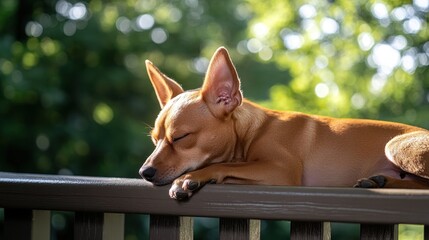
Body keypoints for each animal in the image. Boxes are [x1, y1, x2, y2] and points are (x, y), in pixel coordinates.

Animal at [140, 46, 428, 200]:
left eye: (181, 137)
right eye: (155, 140)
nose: (145, 172)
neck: (252, 132)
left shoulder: (280, 171)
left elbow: (224, 165)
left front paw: (191, 178)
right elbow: (230, 167)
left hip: (395, 145)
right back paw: (381, 182)